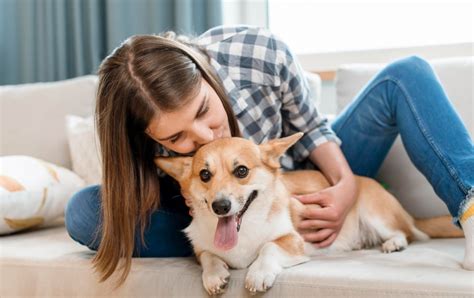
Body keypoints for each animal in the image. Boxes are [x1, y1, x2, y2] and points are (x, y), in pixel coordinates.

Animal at [156, 133, 462, 296]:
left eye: (241, 171)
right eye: (204, 175)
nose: (220, 206)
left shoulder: (293, 241)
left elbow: (268, 247)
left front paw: (258, 274)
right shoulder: (202, 250)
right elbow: (209, 256)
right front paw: (214, 276)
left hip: (376, 213)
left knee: (406, 232)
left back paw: (394, 243)